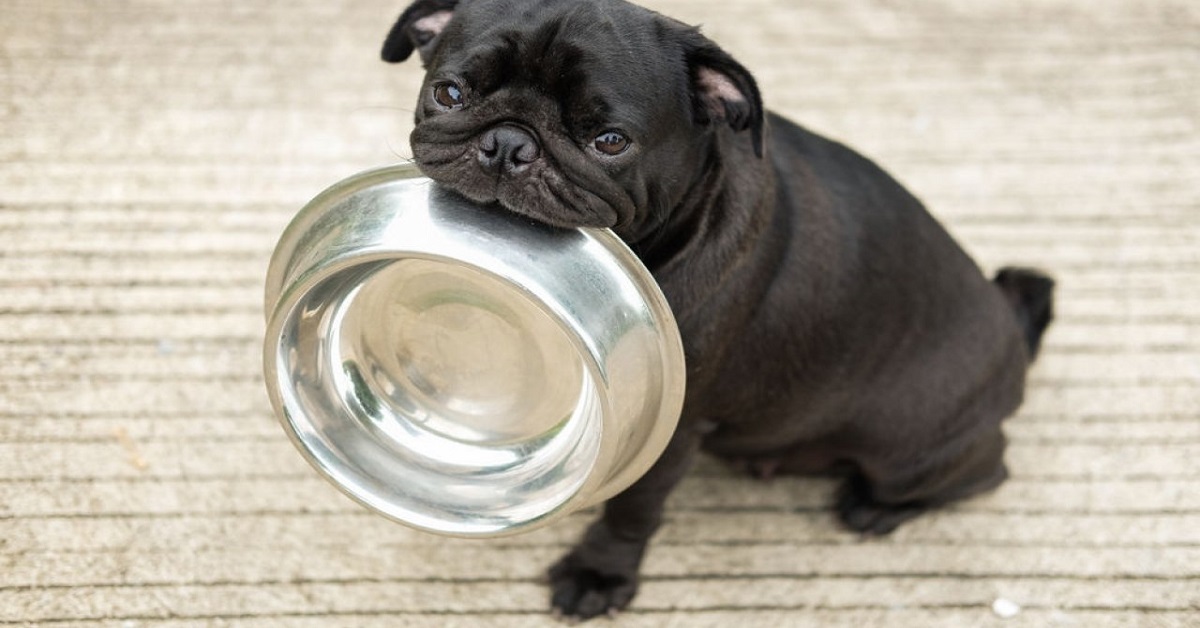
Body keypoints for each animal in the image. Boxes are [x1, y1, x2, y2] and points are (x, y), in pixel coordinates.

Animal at [379, 0, 1056, 619]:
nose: (508, 143)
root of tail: (1012, 334)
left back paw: (874, 507)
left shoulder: (673, 431)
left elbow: (633, 509)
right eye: (448, 93)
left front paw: (600, 573)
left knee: (985, 472)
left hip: (907, 457)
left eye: (610, 141)